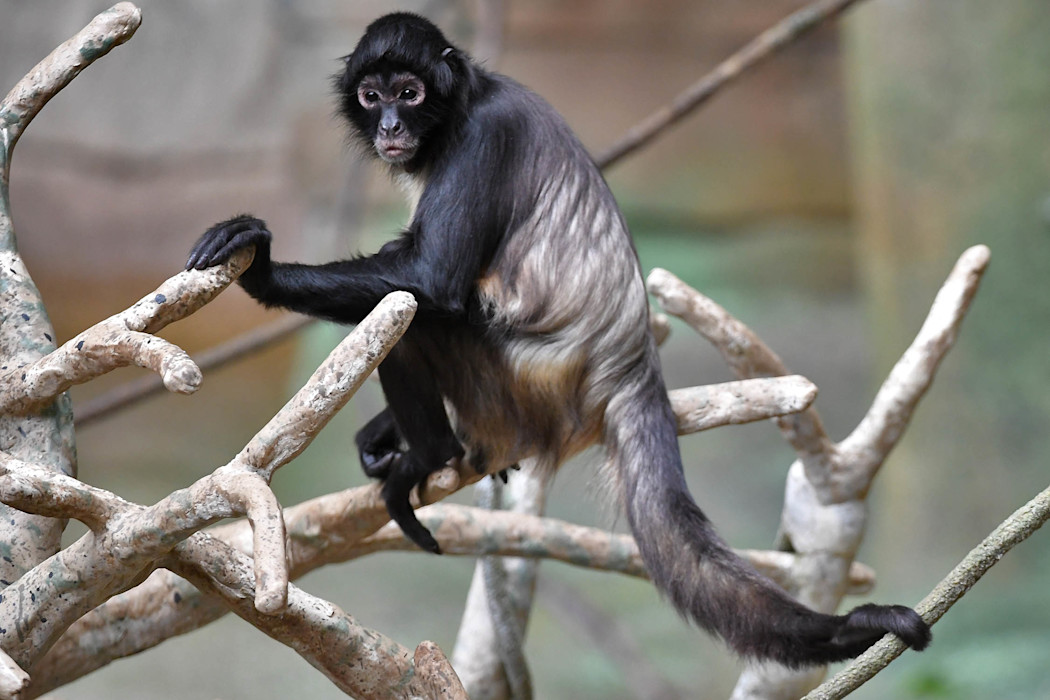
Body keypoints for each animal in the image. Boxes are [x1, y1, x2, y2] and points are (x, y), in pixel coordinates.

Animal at [186, 12, 931, 666]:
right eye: (373, 96)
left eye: (410, 92)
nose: (391, 125)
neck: (468, 100)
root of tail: (631, 365)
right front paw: (380, 430)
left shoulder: (482, 135)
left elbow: (429, 280)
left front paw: (265, 269)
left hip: (515, 382)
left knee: (417, 312)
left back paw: (431, 453)